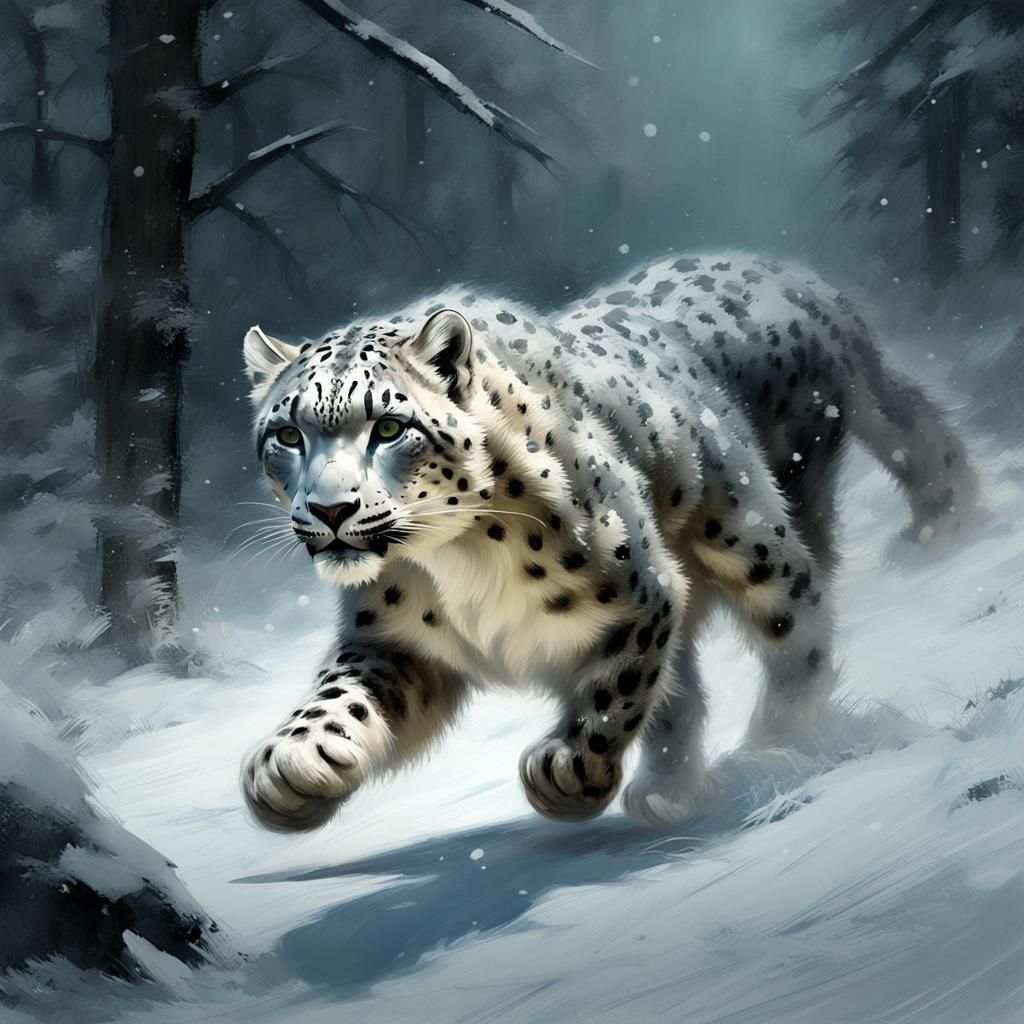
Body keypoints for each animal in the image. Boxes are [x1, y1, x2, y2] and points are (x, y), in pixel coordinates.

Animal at [238, 250, 977, 831]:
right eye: (288, 434)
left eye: (389, 427)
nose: (331, 509)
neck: (451, 560)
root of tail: (802, 281)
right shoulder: (393, 640)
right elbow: (341, 695)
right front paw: (291, 765)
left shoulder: (642, 591)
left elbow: (619, 690)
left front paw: (568, 771)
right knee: (692, 683)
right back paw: (678, 787)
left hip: (750, 529)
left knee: (800, 627)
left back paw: (772, 746)